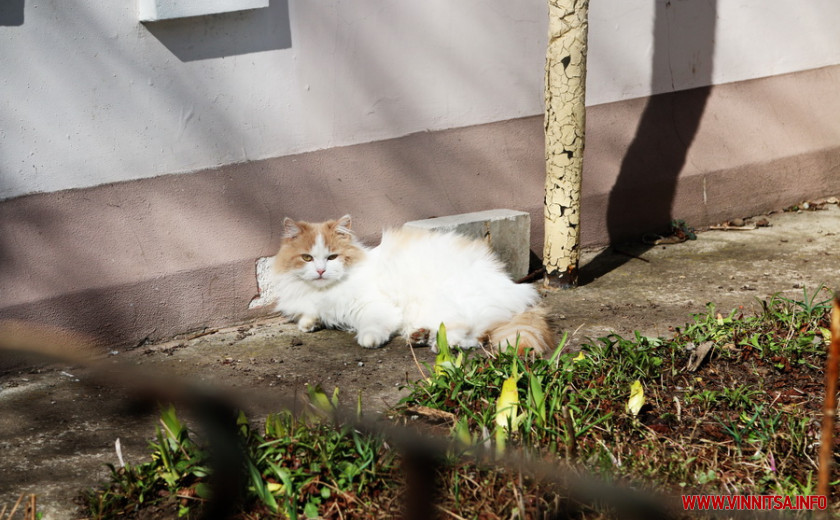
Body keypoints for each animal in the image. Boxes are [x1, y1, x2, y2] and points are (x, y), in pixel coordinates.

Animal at [272, 214, 556, 354]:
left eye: (332, 257)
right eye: (307, 258)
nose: (320, 270)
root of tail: (513, 286)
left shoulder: (374, 305)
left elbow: (372, 325)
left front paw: (368, 339)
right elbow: (309, 316)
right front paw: (310, 323)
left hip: (443, 302)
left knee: (466, 331)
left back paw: (438, 344)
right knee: (475, 336)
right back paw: (420, 336)